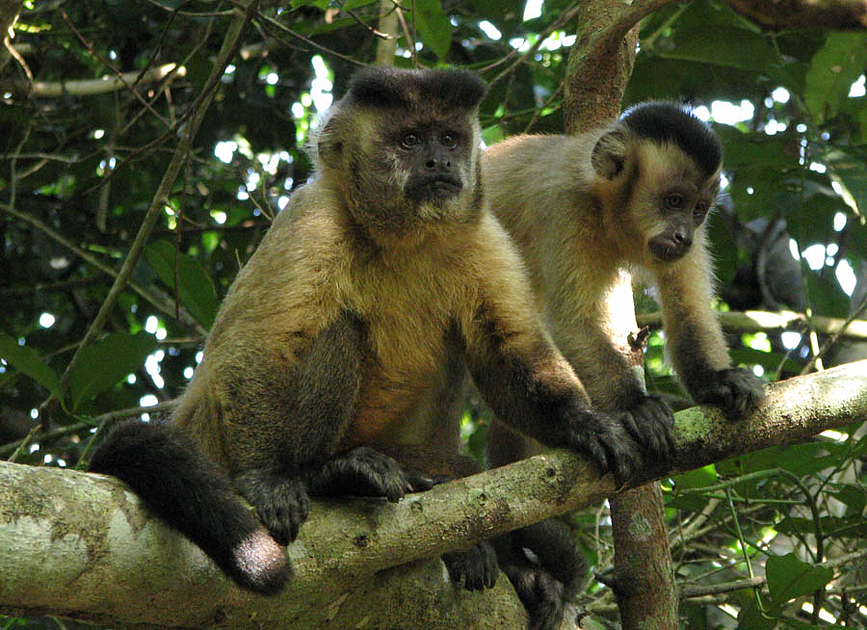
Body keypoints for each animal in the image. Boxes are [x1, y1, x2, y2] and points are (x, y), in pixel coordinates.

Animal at [90, 66, 664, 604]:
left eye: (448, 138)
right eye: (409, 141)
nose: (438, 163)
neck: (404, 239)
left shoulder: (481, 232)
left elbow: (509, 349)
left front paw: (584, 423)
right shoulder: (311, 221)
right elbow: (258, 346)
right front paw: (267, 478)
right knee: (331, 335)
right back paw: (329, 476)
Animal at [482, 101, 768, 628]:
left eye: (698, 210)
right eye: (673, 200)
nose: (683, 232)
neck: (606, 209)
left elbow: (689, 309)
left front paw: (716, 381)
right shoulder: (563, 205)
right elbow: (571, 324)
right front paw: (635, 408)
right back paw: (514, 564)